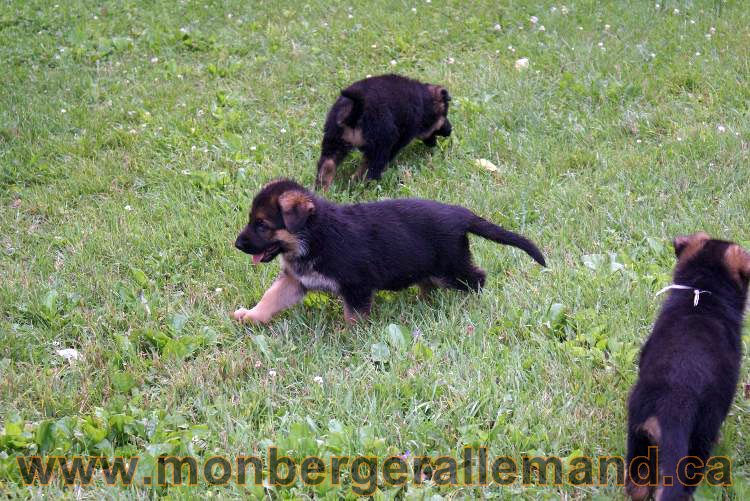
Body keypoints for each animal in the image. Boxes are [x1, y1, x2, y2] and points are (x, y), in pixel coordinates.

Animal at [234, 180, 548, 324]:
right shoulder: (294, 280)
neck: (313, 235)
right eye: (252, 220)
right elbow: (270, 298)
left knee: (478, 278)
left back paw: (471, 303)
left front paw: (349, 338)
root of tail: (461, 214)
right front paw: (250, 316)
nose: (237, 244)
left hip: (451, 267)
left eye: (261, 225)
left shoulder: (357, 287)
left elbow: (353, 318)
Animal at [316, 73, 452, 189]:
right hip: (380, 144)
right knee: (368, 170)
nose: (450, 130)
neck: (425, 102)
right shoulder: (400, 138)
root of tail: (354, 113)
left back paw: (322, 189)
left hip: (333, 140)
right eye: (445, 114)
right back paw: (363, 185)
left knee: (327, 165)